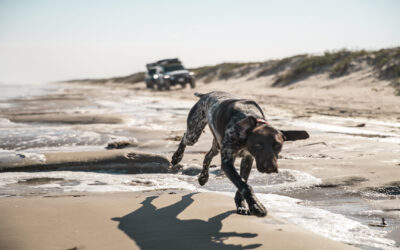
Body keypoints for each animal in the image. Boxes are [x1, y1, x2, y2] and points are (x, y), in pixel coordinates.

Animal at [170, 91, 308, 216]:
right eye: (258, 145)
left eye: (278, 145)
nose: (270, 167)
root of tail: (206, 94)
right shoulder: (227, 162)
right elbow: (243, 185)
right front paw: (256, 205)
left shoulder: (248, 159)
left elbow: (242, 182)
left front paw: (241, 205)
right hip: (194, 134)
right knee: (185, 137)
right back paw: (177, 157)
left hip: (217, 145)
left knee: (208, 155)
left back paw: (203, 177)